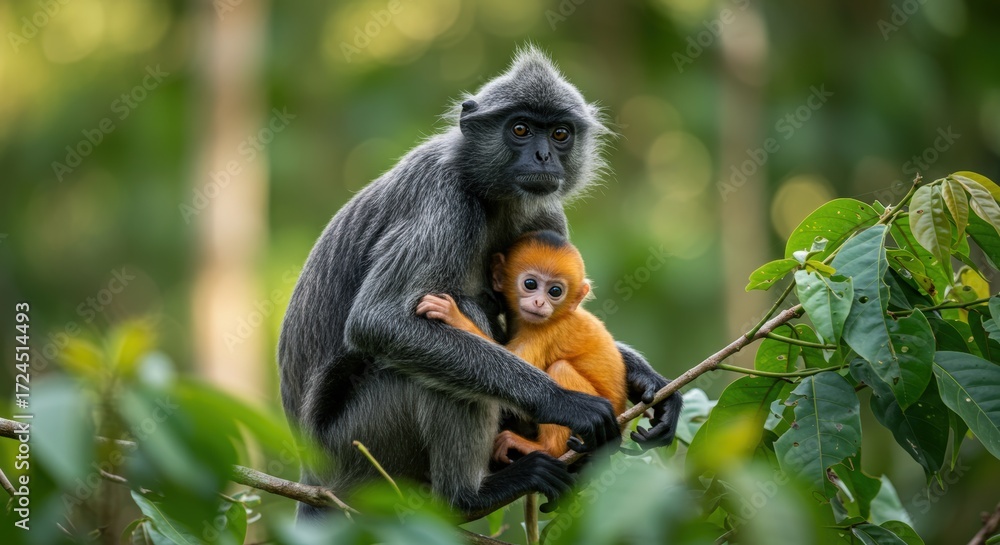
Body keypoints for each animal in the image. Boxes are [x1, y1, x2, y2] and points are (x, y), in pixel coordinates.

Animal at [416, 230, 628, 464]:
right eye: (530, 284)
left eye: (555, 291)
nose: (539, 303)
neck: (559, 315)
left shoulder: (545, 332)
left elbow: (522, 364)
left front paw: (455, 316)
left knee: (559, 368)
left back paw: (546, 449)